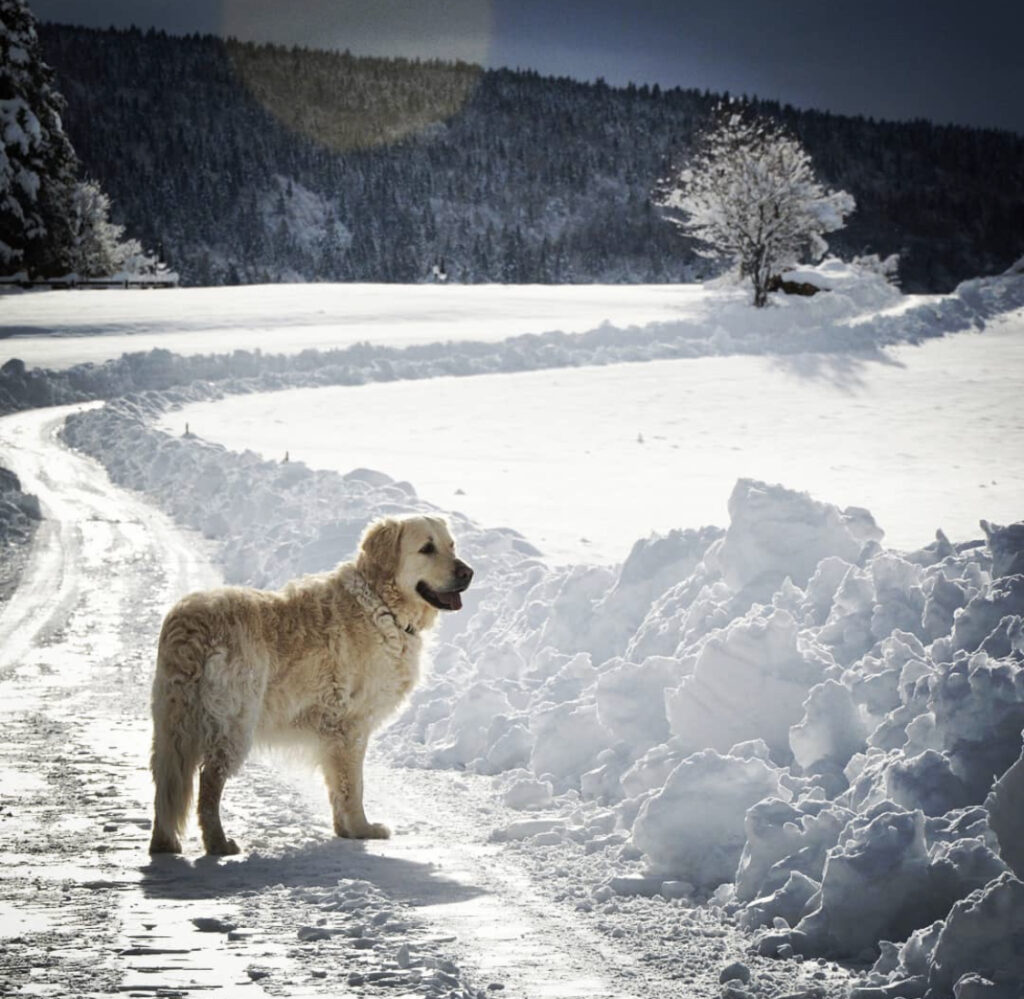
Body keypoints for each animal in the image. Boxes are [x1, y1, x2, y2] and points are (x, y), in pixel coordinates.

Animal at [147, 515, 471, 851]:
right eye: (427, 549)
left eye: (451, 545)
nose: (468, 573)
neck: (382, 605)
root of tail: (190, 623)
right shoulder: (351, 727)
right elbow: (354, 786)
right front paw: (362, 828)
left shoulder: (332, 733)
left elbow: (337, 786)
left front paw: (344, 829)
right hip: (233, 723)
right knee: (210, 781)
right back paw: (218, 844)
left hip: (171, 724)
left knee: (165, 782)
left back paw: (164, 843)